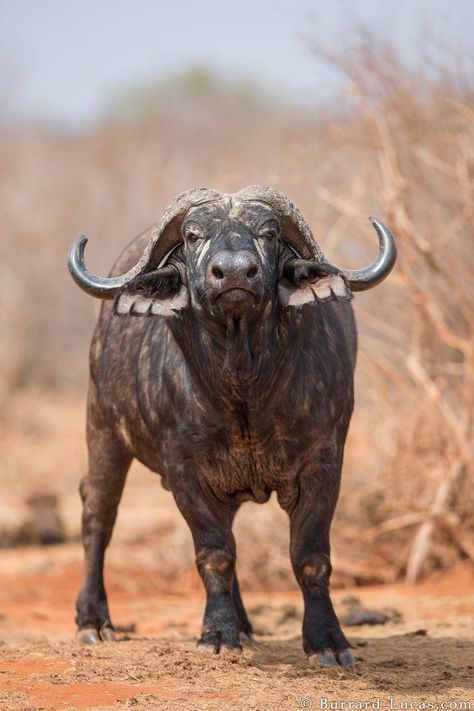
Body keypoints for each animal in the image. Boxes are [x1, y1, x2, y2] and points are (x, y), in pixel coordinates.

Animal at [67, 186, 396, 664]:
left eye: (269, 232)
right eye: (192, 235)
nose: (235, 273)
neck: (244, 389)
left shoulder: (324, 462)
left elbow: (310, 556)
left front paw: (327, 640)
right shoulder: (185, 471)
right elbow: (216, 552)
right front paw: (217, 634)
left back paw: (243, 623)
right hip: (104, 428)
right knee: (98, 513)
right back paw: (93, 621)